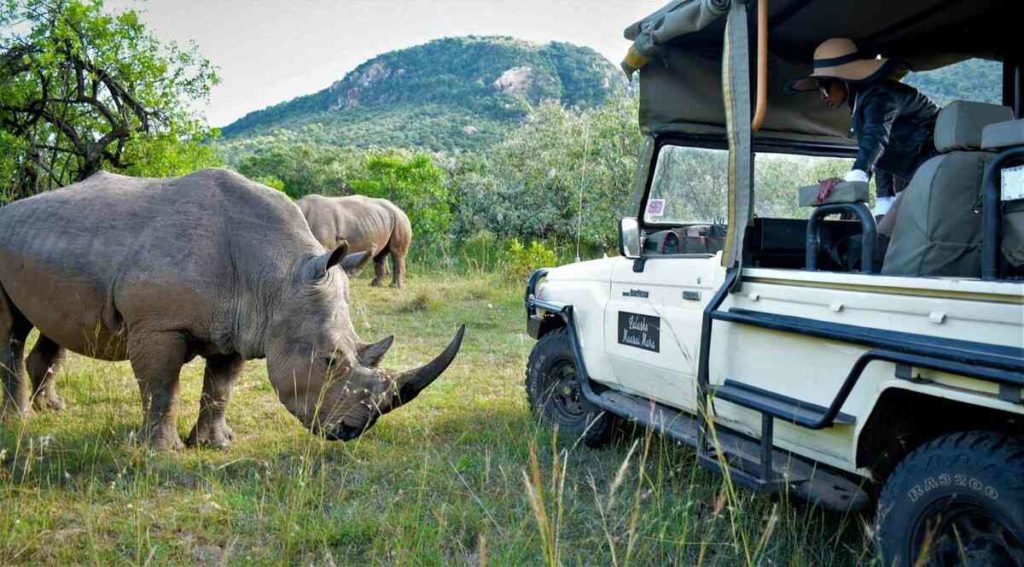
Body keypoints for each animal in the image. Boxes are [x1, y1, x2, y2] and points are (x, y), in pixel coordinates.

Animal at [0, 168, 464, 450]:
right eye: (330, 361)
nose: (352, 432)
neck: (279, 276)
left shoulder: (240, 324)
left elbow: (220, 387)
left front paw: (215, 444)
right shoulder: (158, 325)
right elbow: (162, 386)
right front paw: (162, 452)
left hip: (54, 243)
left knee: (52, 325)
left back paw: (51, 409)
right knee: (11, 331)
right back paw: (18, 421)